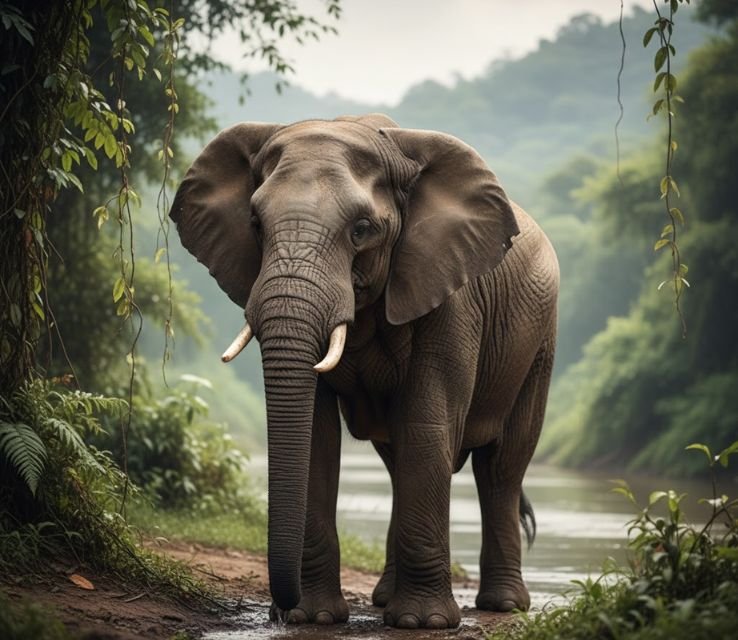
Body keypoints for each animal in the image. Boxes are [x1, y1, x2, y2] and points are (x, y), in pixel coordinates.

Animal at [169, 114, 559, 629]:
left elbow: (426, 426)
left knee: (501, 466)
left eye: (361, 229)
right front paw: (313, 617)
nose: (279, 610)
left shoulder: (450, 293)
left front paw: (421, 624)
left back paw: (504, 605)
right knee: (398, 462)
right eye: (255, 224)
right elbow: (318, 436)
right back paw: (383, 598)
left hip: (539, 343)